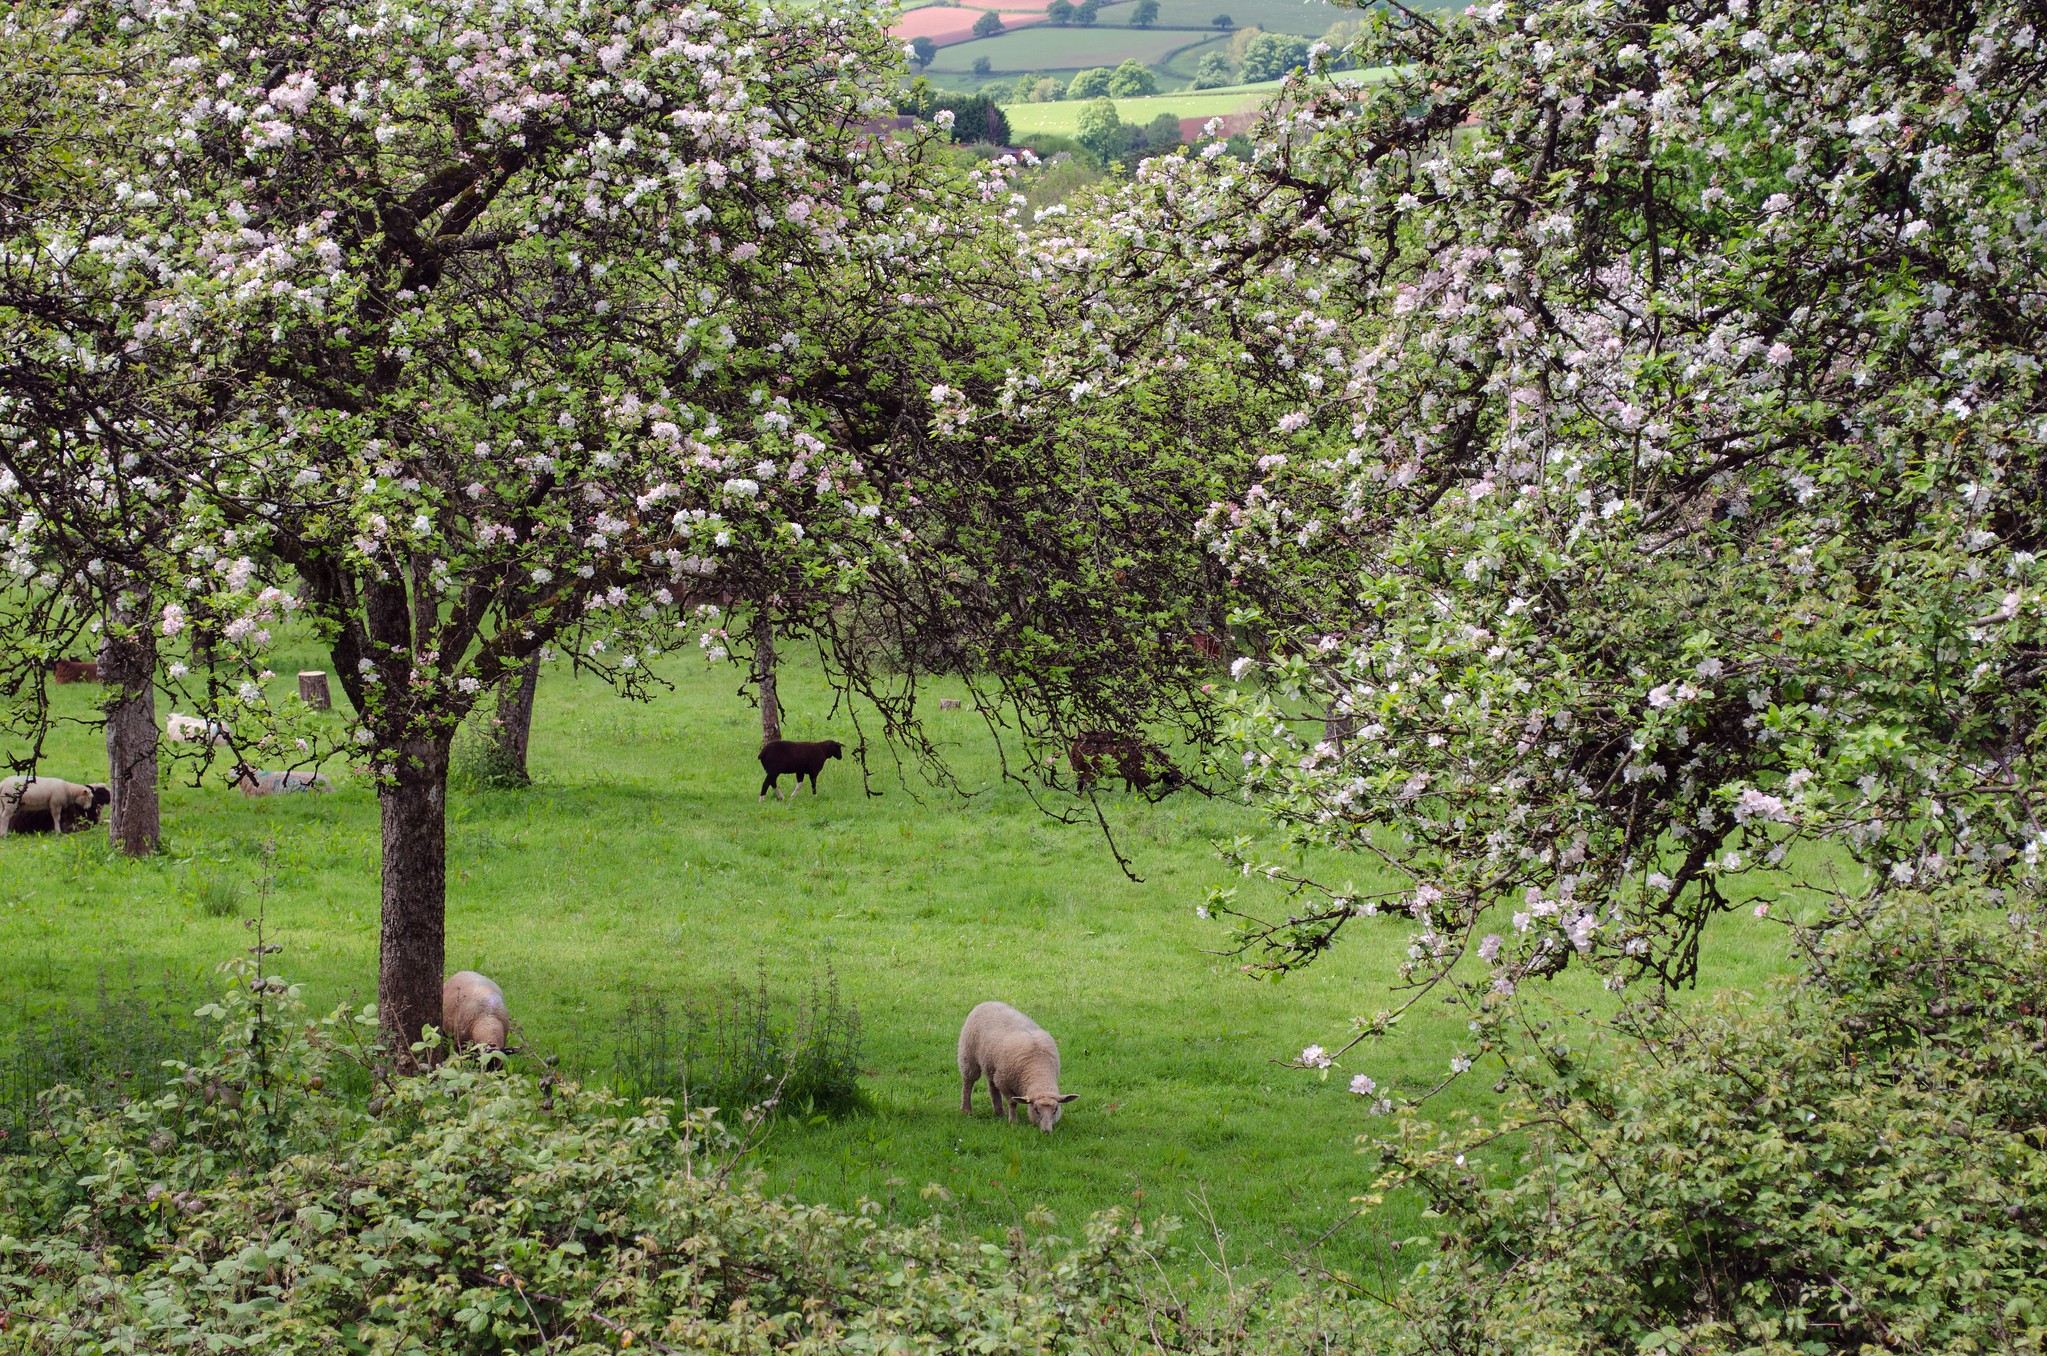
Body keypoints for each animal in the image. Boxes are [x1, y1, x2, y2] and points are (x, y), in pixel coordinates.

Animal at [953, 999, 1080, 1138]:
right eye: (1036, 1109)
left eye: (1055, 1110)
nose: (1046, 1131)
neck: (1039, 1070)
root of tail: (988, 1002)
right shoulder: (1004, 1082)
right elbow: (1013, 1102)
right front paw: (1013, 1122)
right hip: (968, 1055)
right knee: (968, 1083)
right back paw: (967, 1110)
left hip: (992, 1064)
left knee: (992, 1087)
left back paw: (999, 1112)